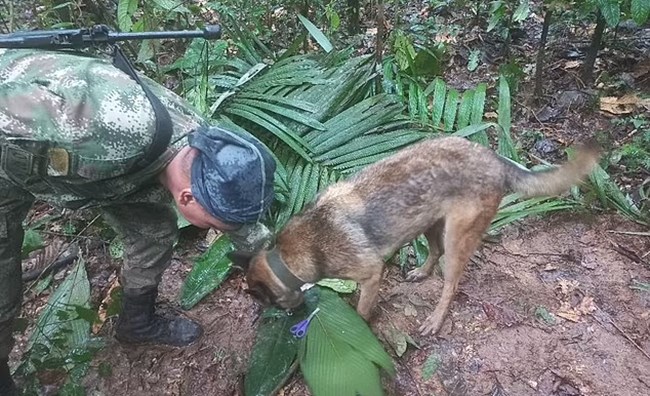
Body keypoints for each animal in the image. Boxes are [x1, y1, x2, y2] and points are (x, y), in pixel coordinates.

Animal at [228, 135, 596, 334]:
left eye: (267, 302)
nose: (290, 316)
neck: (287, 257)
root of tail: (497, 160)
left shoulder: (371, 274)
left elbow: (362, 310)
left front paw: (359, 327)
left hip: (456, 237)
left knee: (451, 283)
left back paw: (435, 318)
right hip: (429, 222)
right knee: (434, 252)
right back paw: (421, 272)